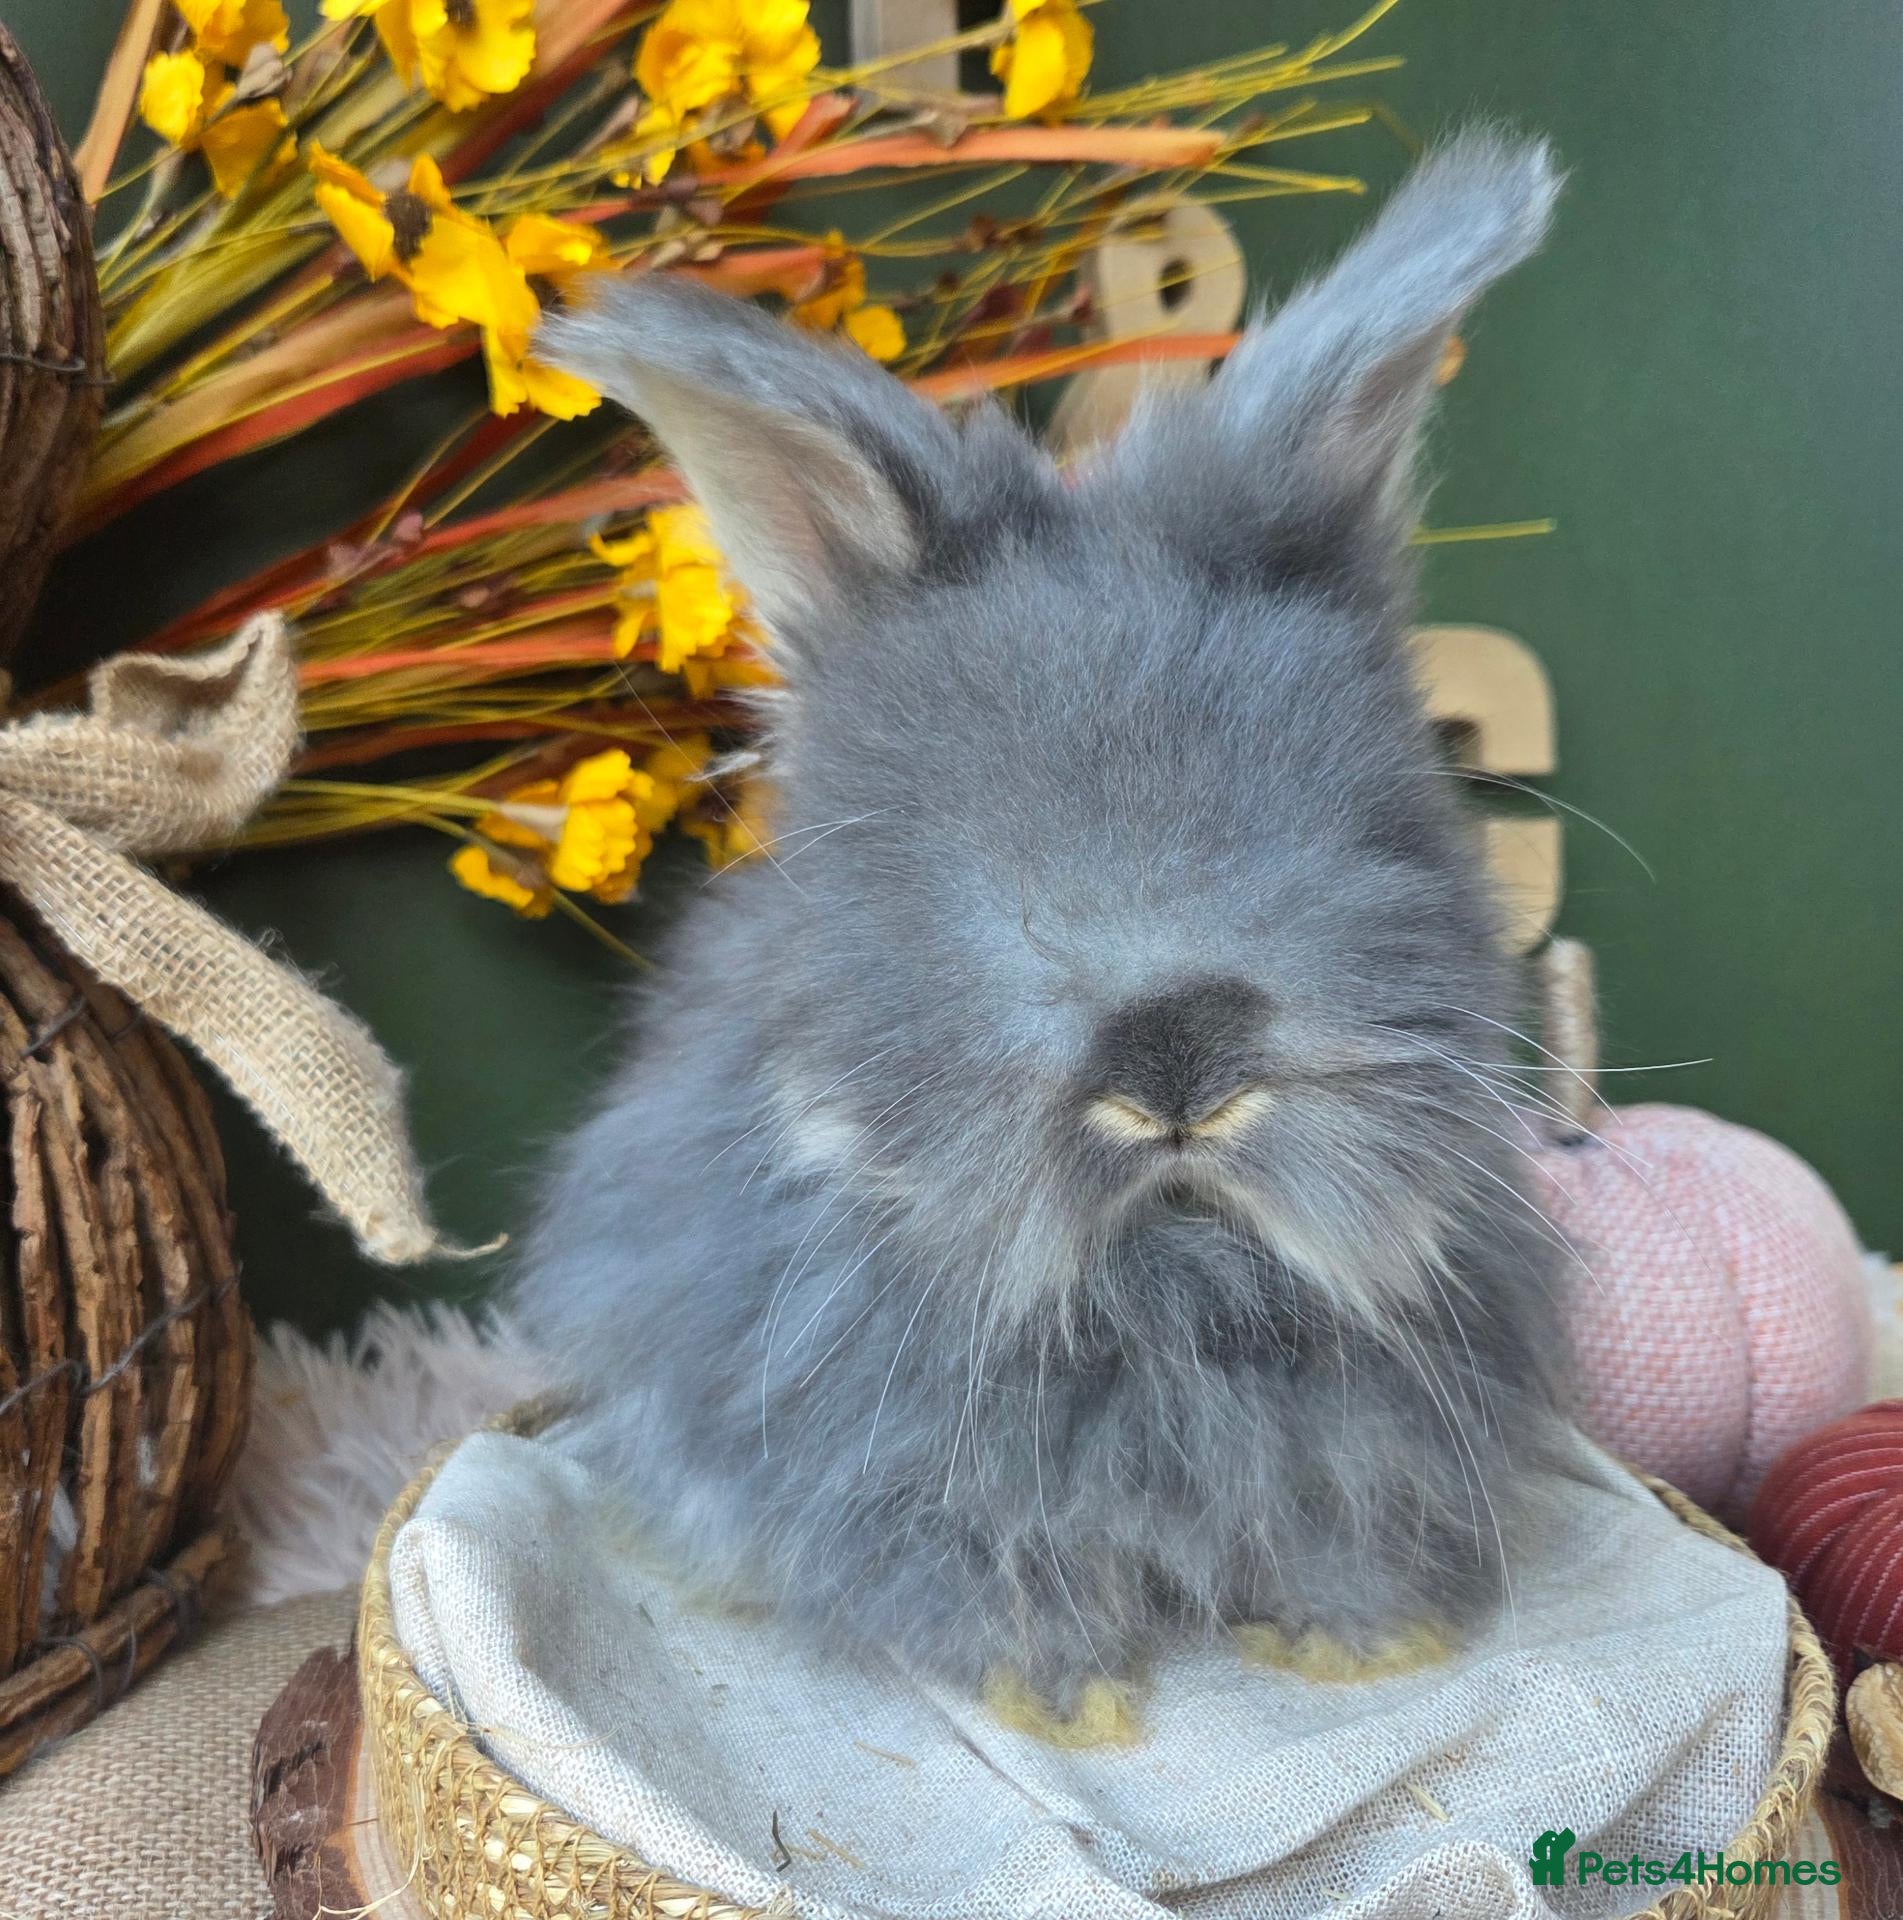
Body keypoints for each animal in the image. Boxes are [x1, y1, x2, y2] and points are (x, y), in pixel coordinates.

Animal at [519, 130, 1575, 1720]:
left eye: (1368, 835)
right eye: (950, 863)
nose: (1178, 1053)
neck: (1167, 1279)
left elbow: (1342, 1535)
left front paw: (1360, 1645)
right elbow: (979, 1575)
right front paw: (1059, 1701)